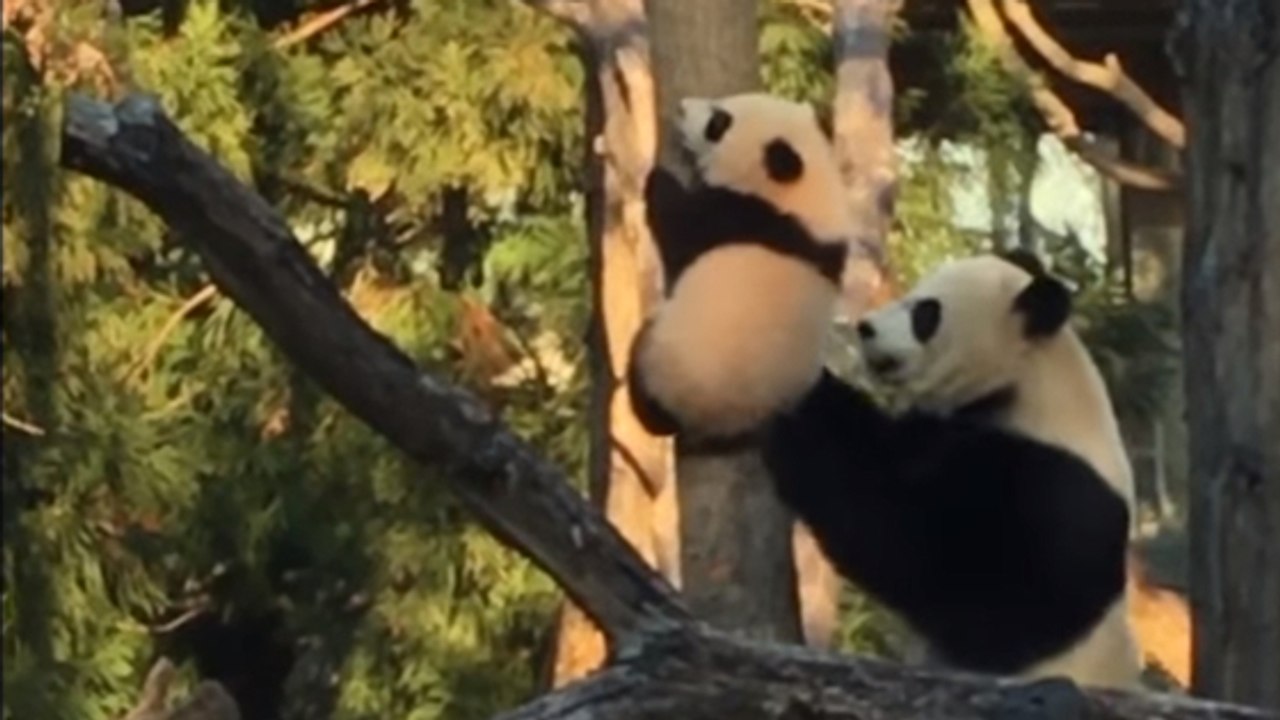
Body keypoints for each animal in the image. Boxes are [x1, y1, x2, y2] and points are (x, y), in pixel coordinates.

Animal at [627, 91, 853, 452]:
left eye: (718, 123)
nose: (682, 108)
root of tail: (715, 420)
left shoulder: (739, 213)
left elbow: (680, 224)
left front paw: (657, 179)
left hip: (665, 357)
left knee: (641, 360)